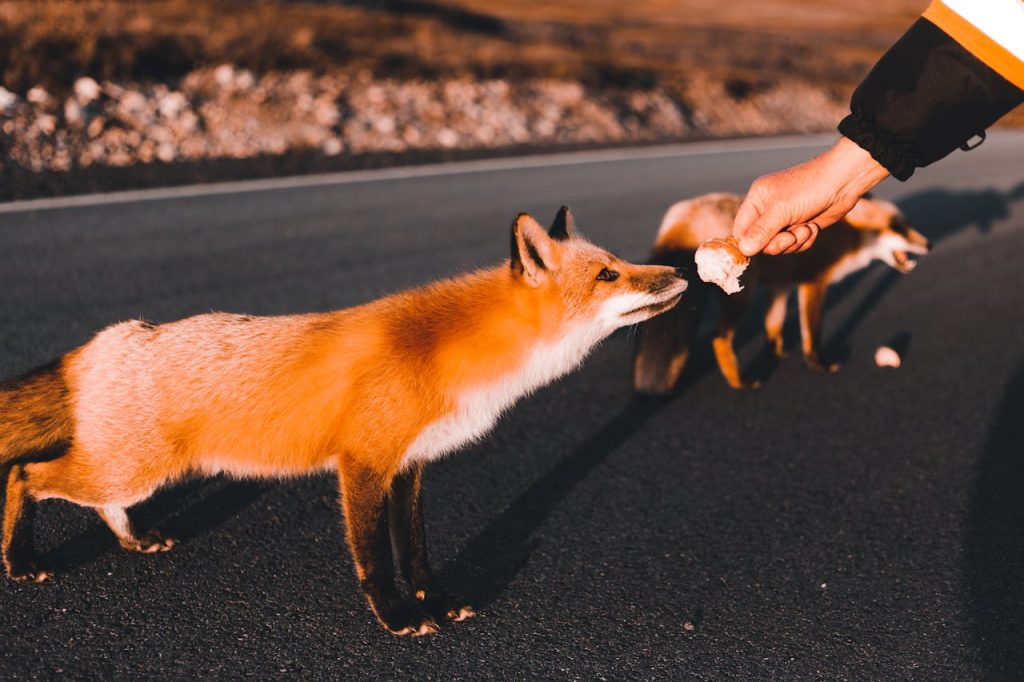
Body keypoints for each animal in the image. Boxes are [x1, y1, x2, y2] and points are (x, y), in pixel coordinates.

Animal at [0, 207, 686, 636]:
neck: (449, 354)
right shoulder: (363, 463)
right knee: (25, 475)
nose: (680, 270)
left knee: (91, 499)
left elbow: (417, 552)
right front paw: (398, 619)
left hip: (129, 471)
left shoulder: (411, 466)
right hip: (132, 469)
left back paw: (134, 540)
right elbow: (375, 559)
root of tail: (105, 341)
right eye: (609, 273)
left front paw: (434, 600)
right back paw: (20, 560)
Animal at [633, 193, 929, 395]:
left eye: (905, 224)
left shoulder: (780, 286)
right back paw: (740, 382)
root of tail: (685, 210)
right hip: (741, 296)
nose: (928, 244)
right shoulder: (813, 283)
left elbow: (773, 323)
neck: (846, 237)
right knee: (719, 338)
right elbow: (813, 332)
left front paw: (776, 351)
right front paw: (819, 364)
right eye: (897, 227)